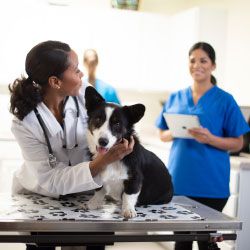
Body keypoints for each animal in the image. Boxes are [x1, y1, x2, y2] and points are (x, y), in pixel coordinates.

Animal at [83, 86, 173, 219]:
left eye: (117, 123)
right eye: (98, 119)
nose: (103, 141)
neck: (110, 157)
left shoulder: (135, 178)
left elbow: (128, 195)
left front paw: (128, 210)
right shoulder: (97, 171)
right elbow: (99, 190)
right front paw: (93, 203)